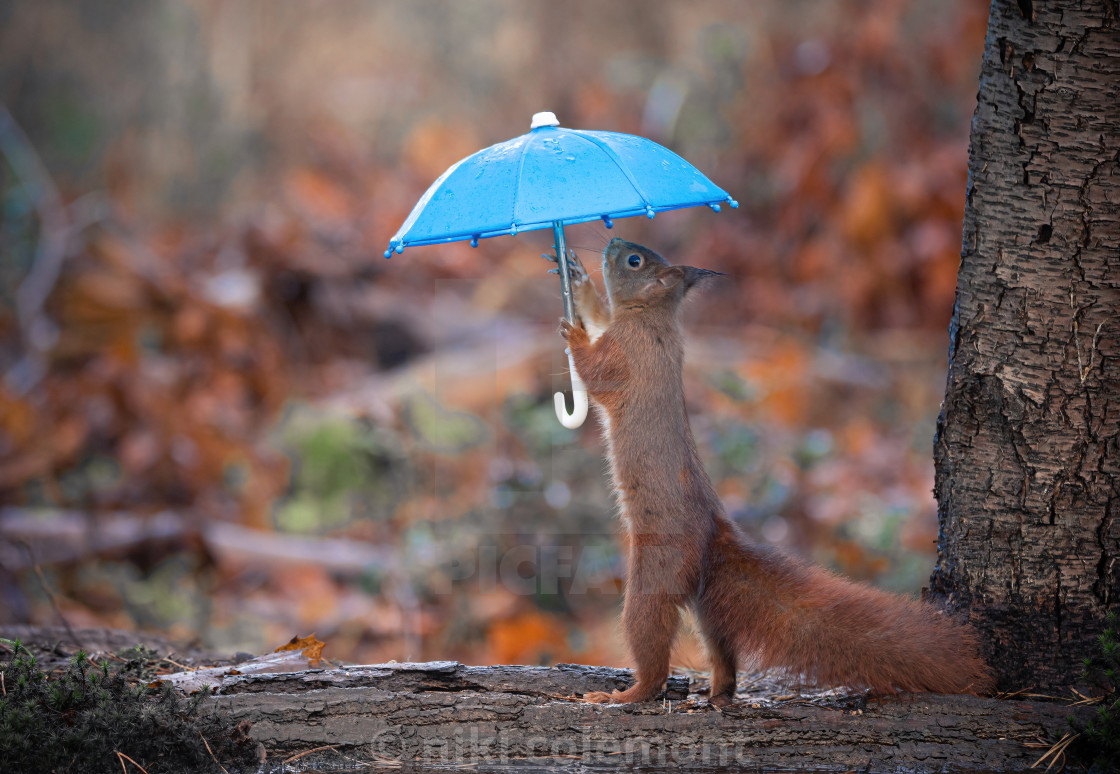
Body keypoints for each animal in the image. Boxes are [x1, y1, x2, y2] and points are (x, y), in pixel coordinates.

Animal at [551, 239, 990, 703]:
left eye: (635, 261)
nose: (611, 243)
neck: (651, 316)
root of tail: (711, 539)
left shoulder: (628, 354)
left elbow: (597, 373)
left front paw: (574, 333)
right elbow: (600, 316)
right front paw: (578, 280)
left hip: (655, 575)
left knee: (651, 646)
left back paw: (623, 695)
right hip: (707, 605)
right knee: (723, 650)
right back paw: (717, 692)